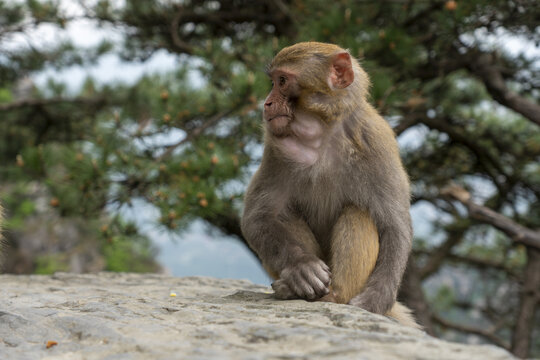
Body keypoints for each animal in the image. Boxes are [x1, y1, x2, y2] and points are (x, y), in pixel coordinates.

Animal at [242, 41, 418, 326]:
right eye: (273, 82)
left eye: (282, 81)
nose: (267, 103)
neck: (324, 132)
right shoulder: (275, 149)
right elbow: (258, 218)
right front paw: (301, 267)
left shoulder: (377, 144)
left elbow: (395, 226)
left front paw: (377, 299)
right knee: (283, 213)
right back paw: (295, 289)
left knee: (359, 212)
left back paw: (335, 295)